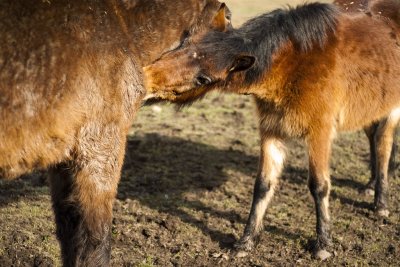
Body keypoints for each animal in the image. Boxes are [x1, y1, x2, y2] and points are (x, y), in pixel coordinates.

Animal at [0, 0, 230, 266]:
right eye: (202, 78)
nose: (146, 82)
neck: (123, 27)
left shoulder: (64, 161)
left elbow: (68, 229)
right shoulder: (99, 152)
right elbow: (95, 239)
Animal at [143, 1, 400, 262]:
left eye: (203, 79)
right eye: (183, 43)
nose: (146, 80)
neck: (295, 63)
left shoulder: (319, 134)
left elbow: (319, 185)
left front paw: (323, 245)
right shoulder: (271, 132)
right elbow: (263, 186)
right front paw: (246, 242)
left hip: (391, 110)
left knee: (383, 143)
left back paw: (381, 204)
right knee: (373, 138)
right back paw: (370, 185)